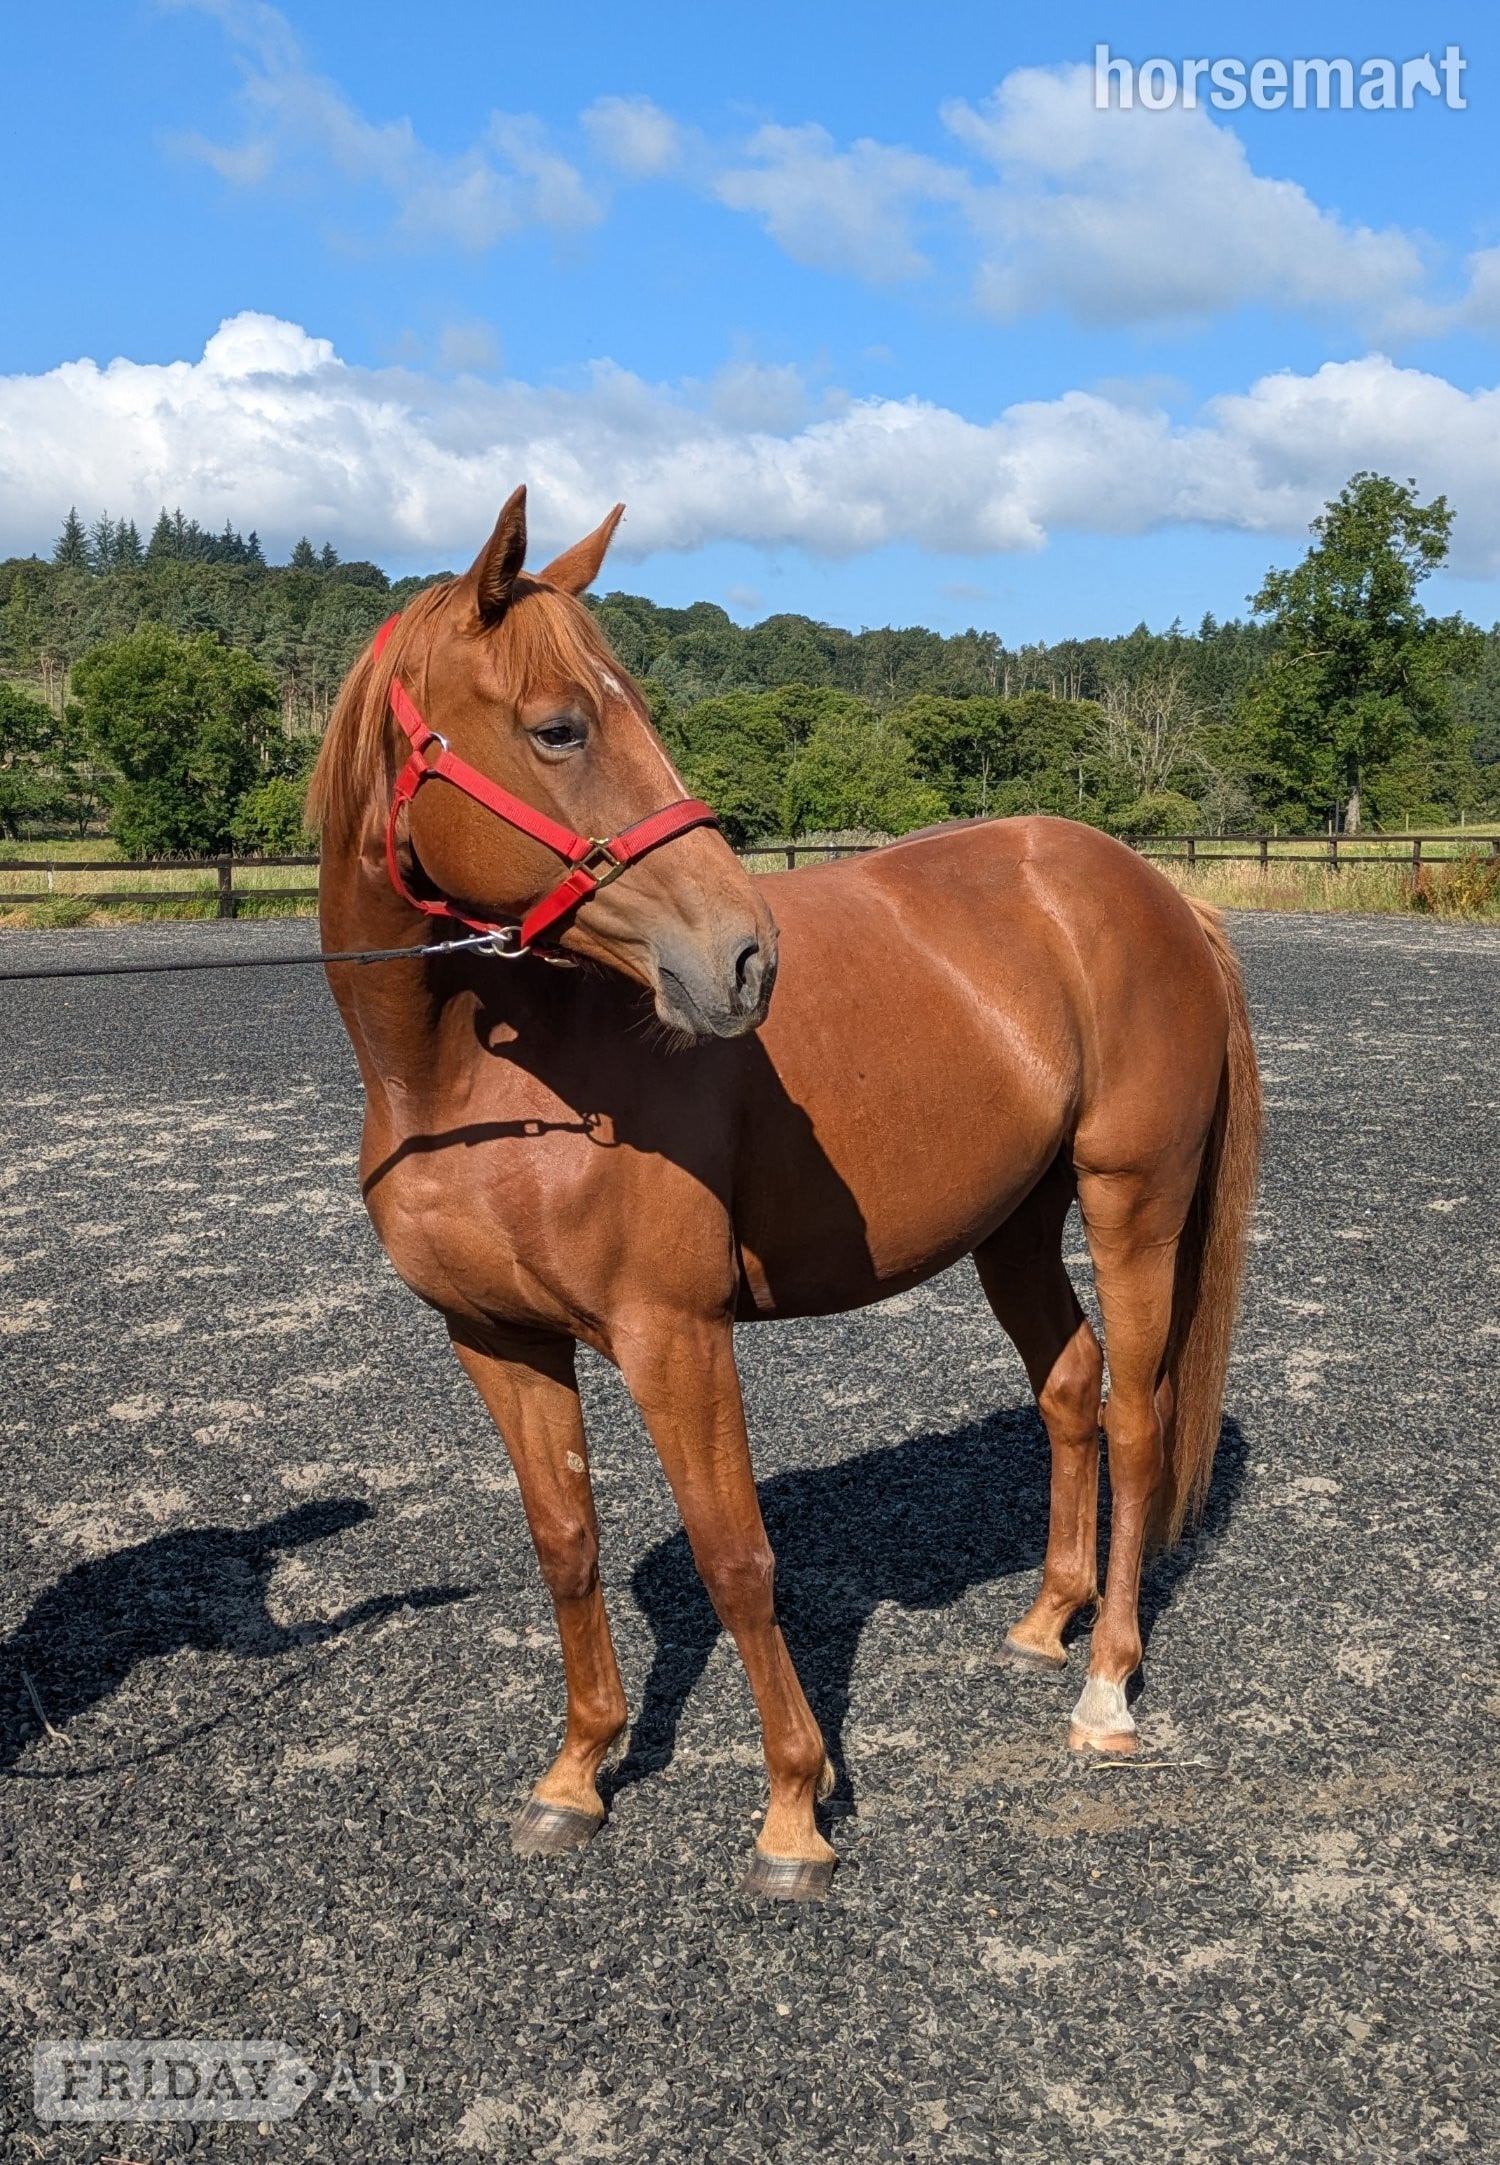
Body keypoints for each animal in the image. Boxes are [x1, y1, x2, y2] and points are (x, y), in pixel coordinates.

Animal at [309, 487, 1261, 1902]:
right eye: (560, 726)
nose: (745, 957)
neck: (481, 1084)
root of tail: (1159, 893)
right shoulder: (497, 1339)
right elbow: (566, 1540)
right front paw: (575, 1775)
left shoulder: (675, 1335)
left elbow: (736, 1556)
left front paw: (794, 1811)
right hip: (1013, 1224)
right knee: (1071, 1383)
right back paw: (1046, 1618)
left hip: (1130, 1198)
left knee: (1137, 1419)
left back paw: (1104, 1688)